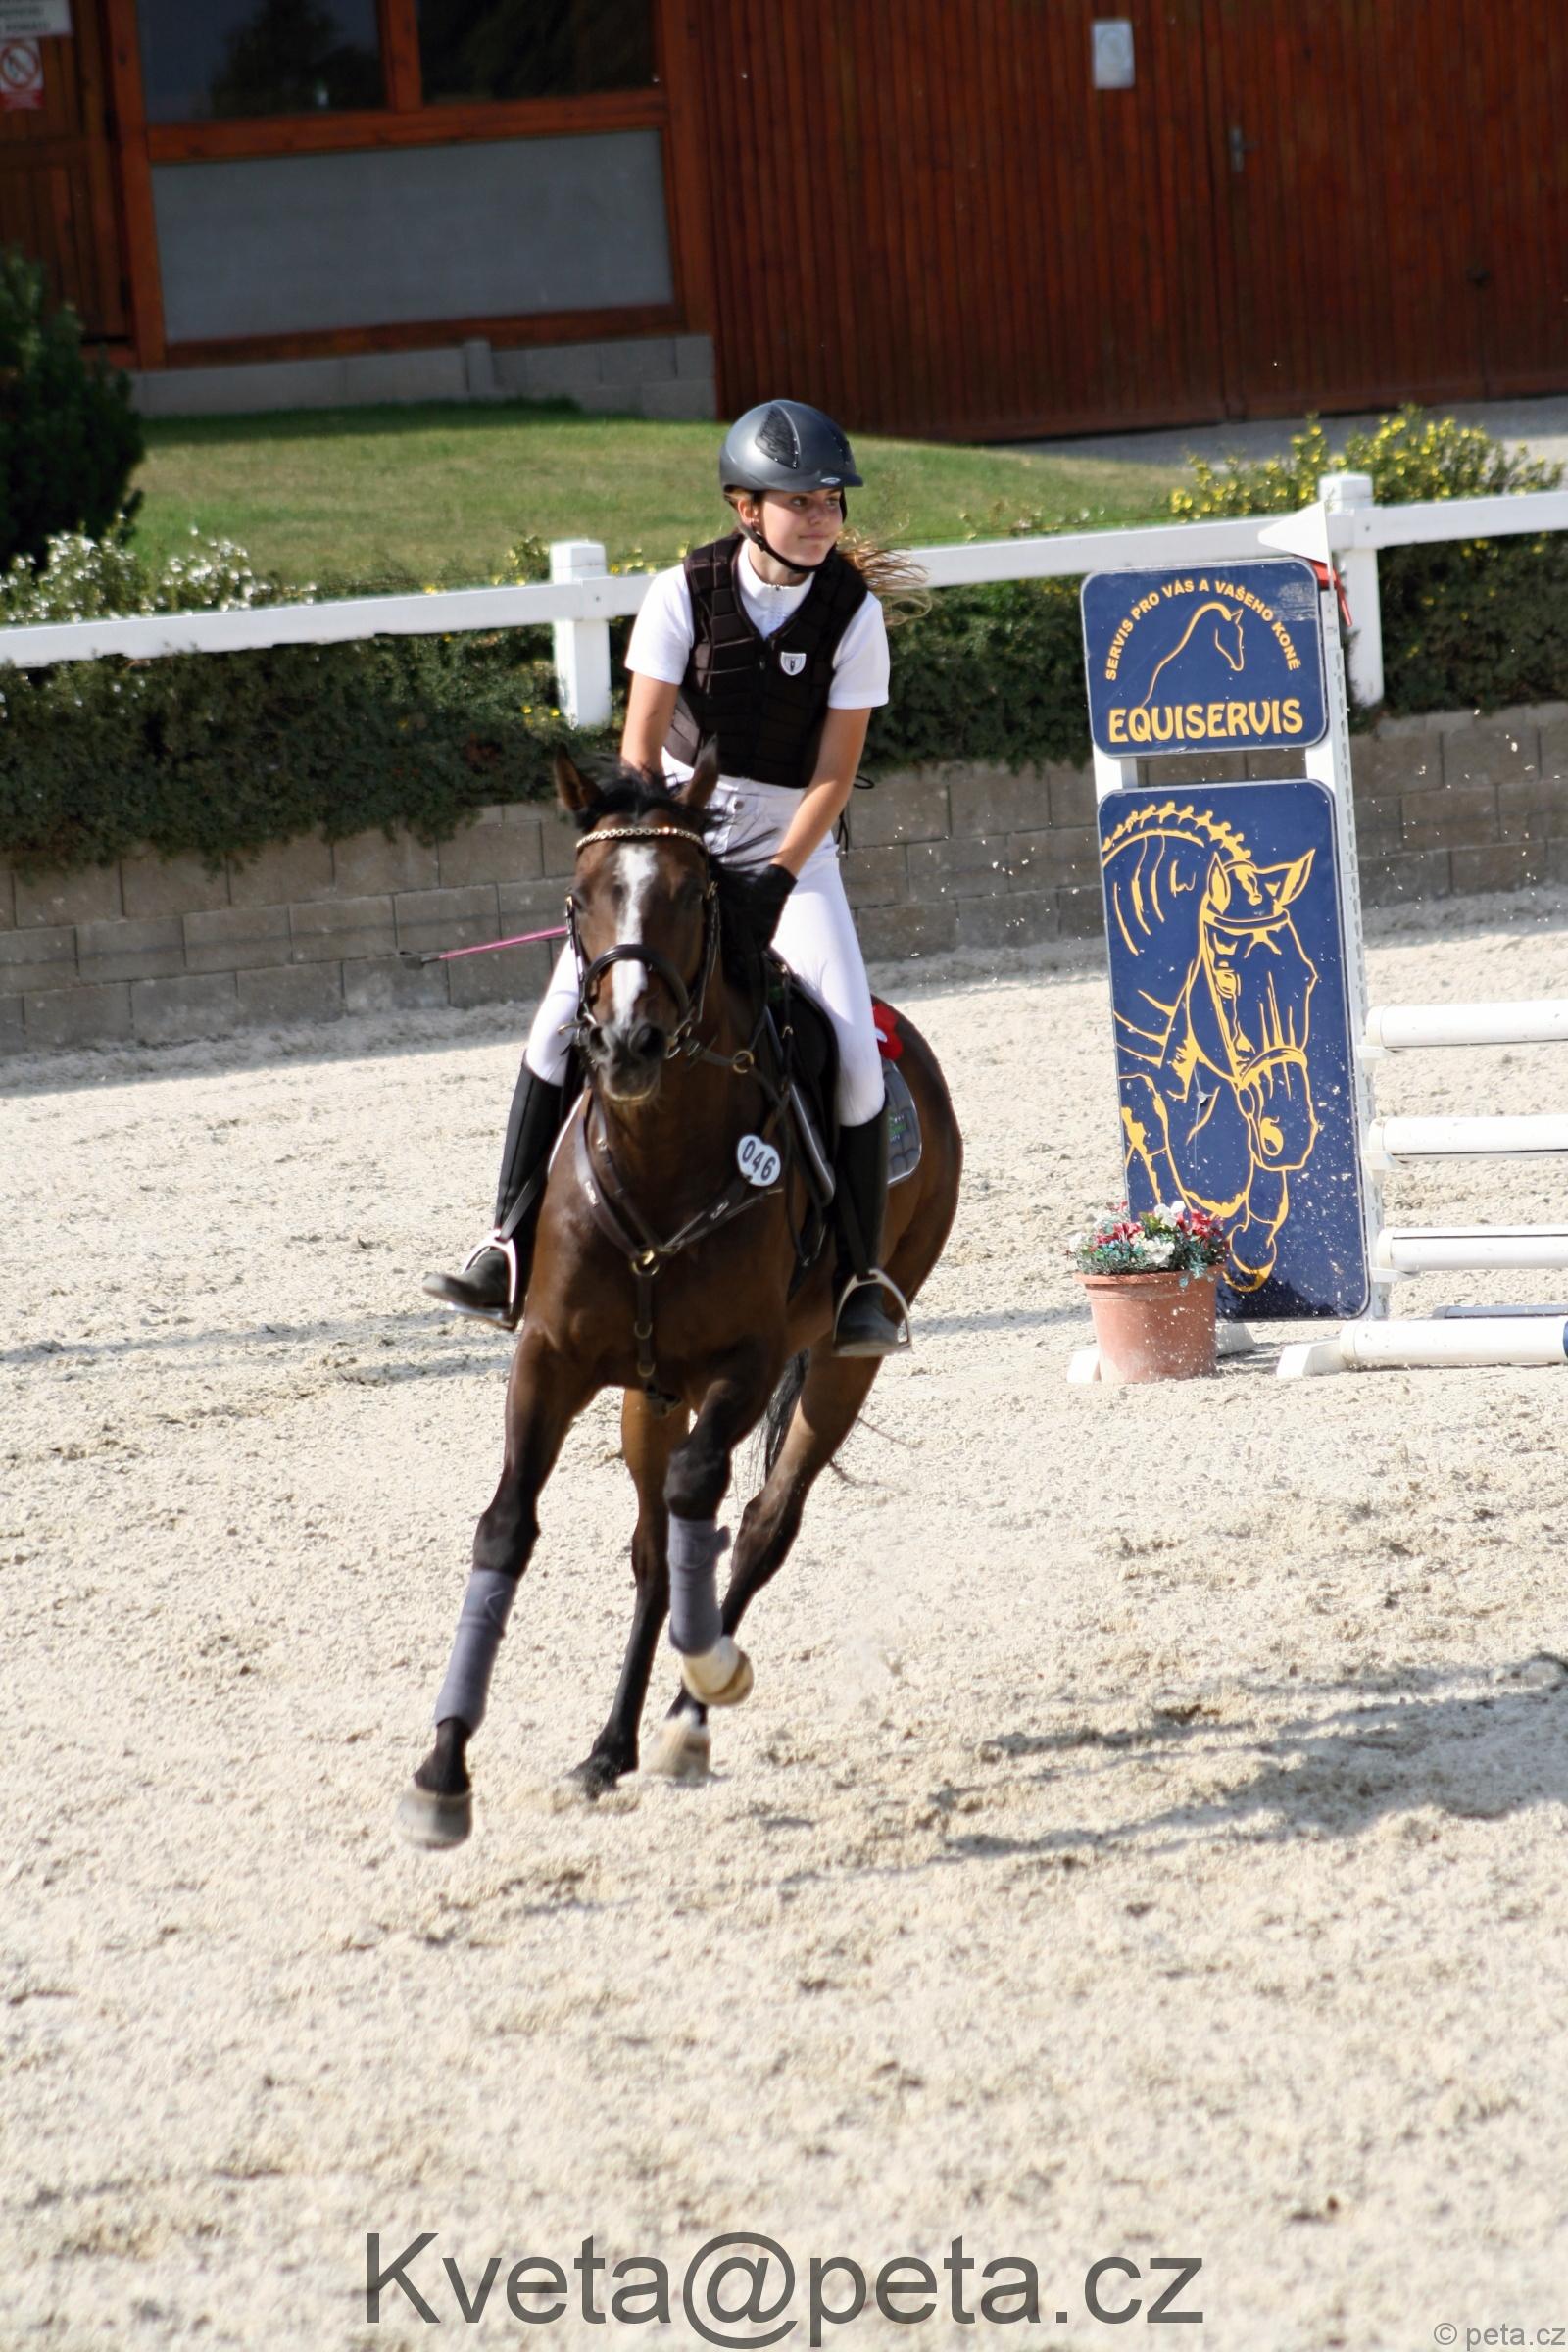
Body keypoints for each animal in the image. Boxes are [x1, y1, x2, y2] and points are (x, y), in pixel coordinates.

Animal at [397, 744, 963, 1845]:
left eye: (692, 895)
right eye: (579, 898)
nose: (625, 1045)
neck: (661, 1152)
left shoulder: (747, 1363)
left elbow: (707, 1497)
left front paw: (710, 1674)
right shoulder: (552, 1358)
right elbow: (508, 1528)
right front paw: (443, 1769)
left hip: (834, 1367)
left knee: (760, 1523)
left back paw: (683, 1719)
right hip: (644, 1393)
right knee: (657, 1554)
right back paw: (609, 1746)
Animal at [1102, 800, 1319, 1293]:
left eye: (1307, 977)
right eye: (1225, 981)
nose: (1293, 1135)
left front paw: (1249, 1251)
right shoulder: (1135, 1080)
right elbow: (1153, 1132)